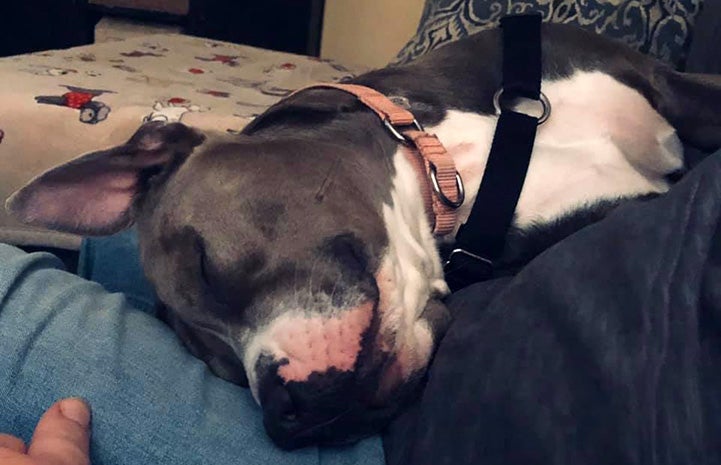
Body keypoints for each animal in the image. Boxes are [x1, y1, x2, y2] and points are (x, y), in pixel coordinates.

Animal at [5, 22, 720, 450]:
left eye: (206, 265)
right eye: (220, 369)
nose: (288, 415)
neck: (451, 159)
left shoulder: (673, 86)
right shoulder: (605, 206)